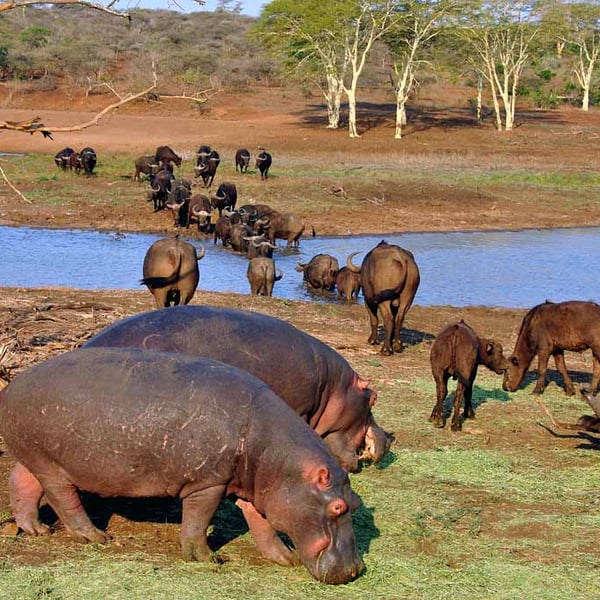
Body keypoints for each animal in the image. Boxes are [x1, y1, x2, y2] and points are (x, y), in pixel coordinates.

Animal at [0, 350, 364, 584]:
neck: (279, 459)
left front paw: (285, 559)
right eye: (337, 507)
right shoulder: (208, 483)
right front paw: (209, 559)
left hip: (36, 456)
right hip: (54, 466)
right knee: (64, 499)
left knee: (22, 481)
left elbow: (263, 525)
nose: (355, 570)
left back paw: (36, 530)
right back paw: (96, 537)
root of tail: (10, 387)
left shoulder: (258, 490)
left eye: (356, 502)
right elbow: (198, 522)